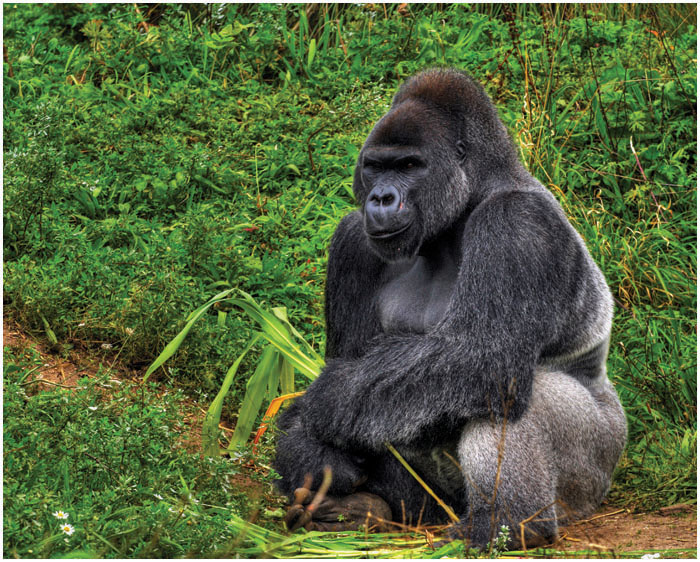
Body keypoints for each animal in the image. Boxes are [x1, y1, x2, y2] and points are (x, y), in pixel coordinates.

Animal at [270, 66, 628, 548]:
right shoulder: (353, 241)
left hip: (595, 470)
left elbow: (482, 355)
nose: (381, 198)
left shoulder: (517, 223)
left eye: (409, 166)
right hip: (436, 504)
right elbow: (355, 368)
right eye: (375, 166)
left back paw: (505, 524)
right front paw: (307, 449)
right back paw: (363, 511)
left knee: (505, 385)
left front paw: (317, 405)